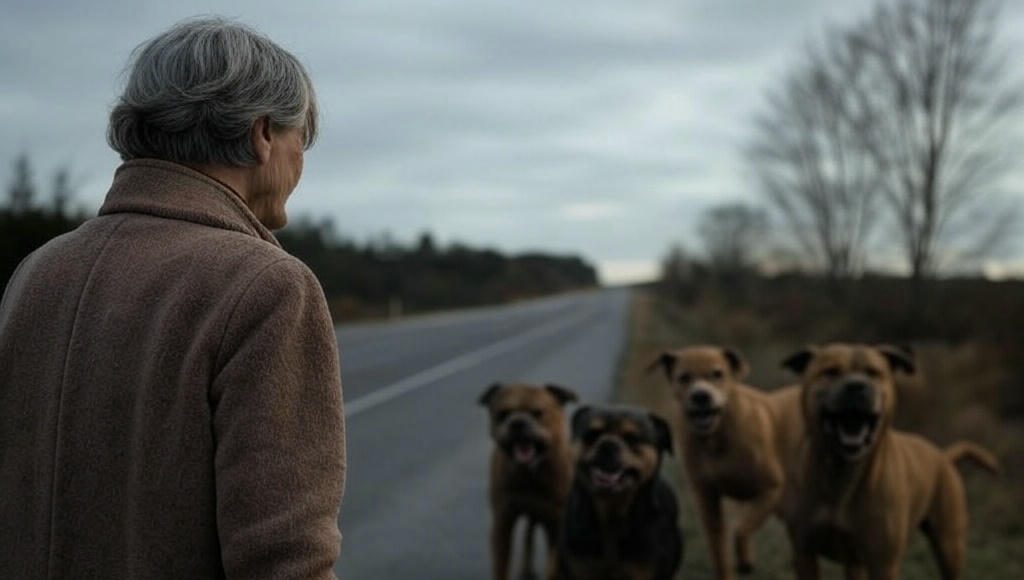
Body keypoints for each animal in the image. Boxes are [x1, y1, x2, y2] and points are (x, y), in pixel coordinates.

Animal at [477, 383, 577, 577]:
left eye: (538, 413)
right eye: (503, 413)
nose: (518, 422)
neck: (528, 474)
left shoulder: (557, 523)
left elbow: (553, 563)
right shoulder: (503, 522)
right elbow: (501, 565)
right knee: (528, 534)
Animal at [647, 348, 806, 577]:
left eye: (717, 374)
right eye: (684, 377)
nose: (701, 396)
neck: (716, 437)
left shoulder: (770, 489)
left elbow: (741, 529)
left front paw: (745, 561)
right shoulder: (707, 500)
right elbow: (719, 551)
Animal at [778, 346, 995, 580]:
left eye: (874, 373)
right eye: (831, 371)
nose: (856, 386)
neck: (843, 475)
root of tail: (943, 456)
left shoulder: (883, 563)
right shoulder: (804, 554)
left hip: (950, 545)